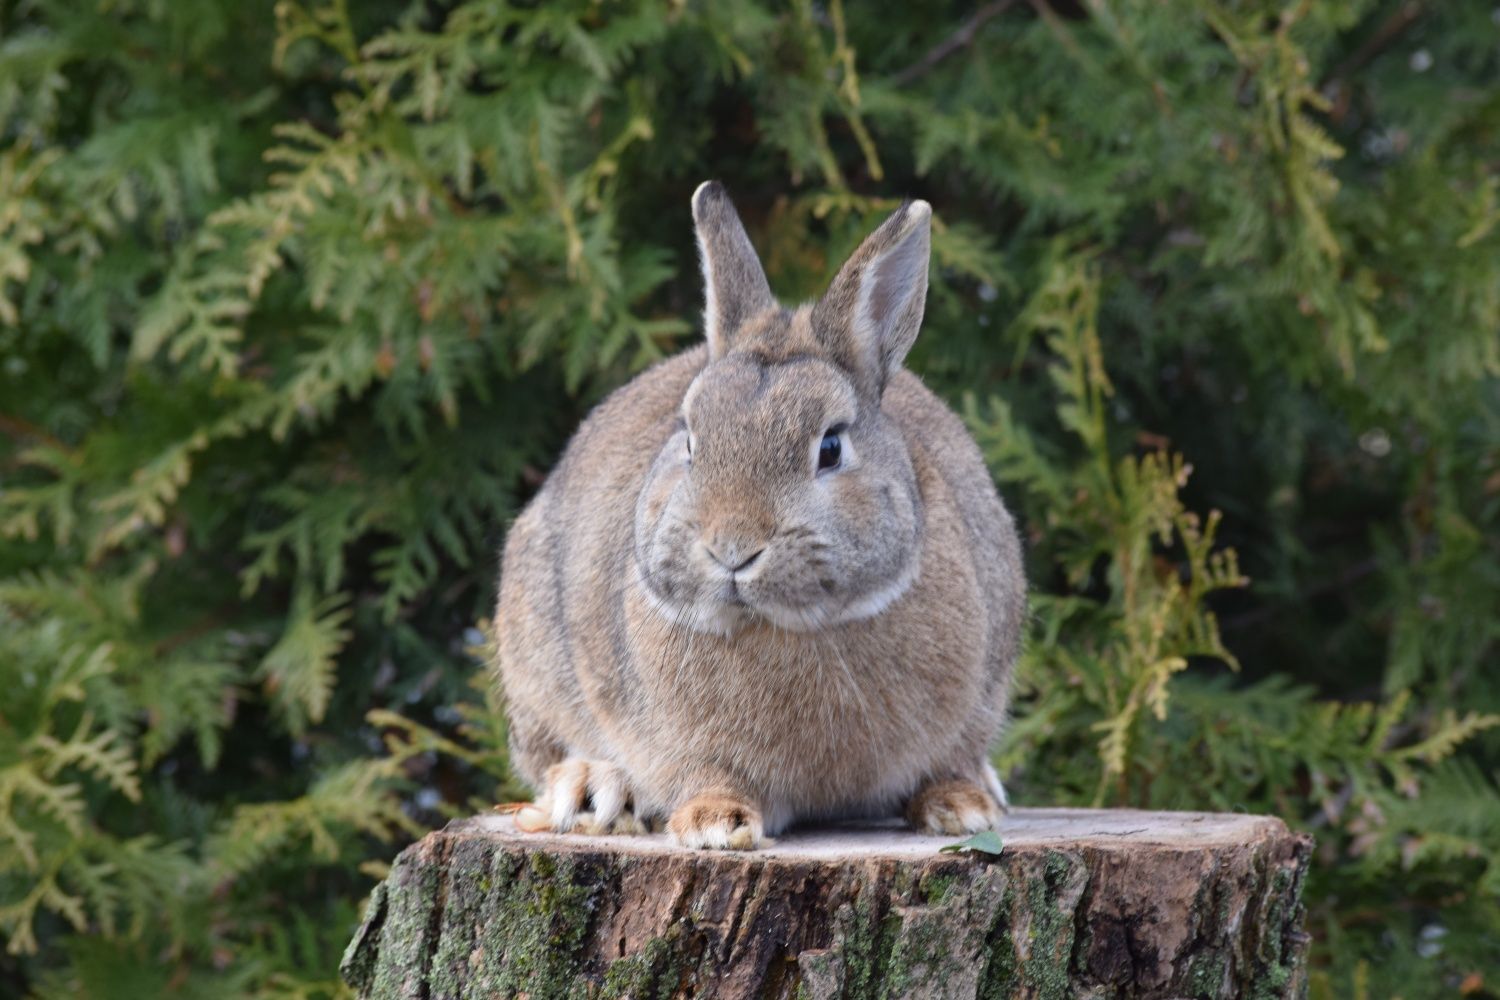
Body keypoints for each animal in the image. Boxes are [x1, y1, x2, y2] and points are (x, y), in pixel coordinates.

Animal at [498, 183, 1026, 851]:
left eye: (831, 447)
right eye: (689, 438)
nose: (731, 547)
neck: (793, 624)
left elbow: (951, 756)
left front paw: (960, 808)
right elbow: (706, 774)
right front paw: (716, 825)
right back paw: (597, 788)